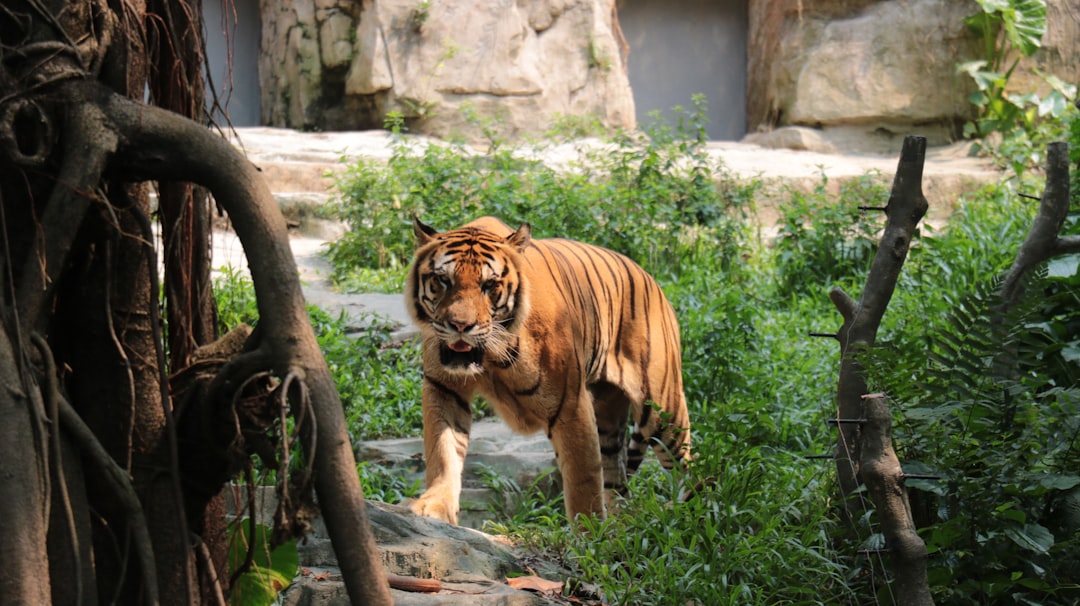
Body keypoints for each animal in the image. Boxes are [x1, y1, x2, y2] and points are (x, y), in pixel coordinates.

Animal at [404, 216, 691, 524]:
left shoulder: (571, 405)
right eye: (443, 280)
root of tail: (651, 279)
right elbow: (443, 450)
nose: (460, 326)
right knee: (616, 477)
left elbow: (582, 480)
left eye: (489, 285)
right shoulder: (444, 388)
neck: (491, 356)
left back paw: (693, 510)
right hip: (608, 417)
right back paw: (619, 525)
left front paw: (589, 532)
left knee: (686, 463)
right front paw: (435, 506)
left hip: (662, 408)